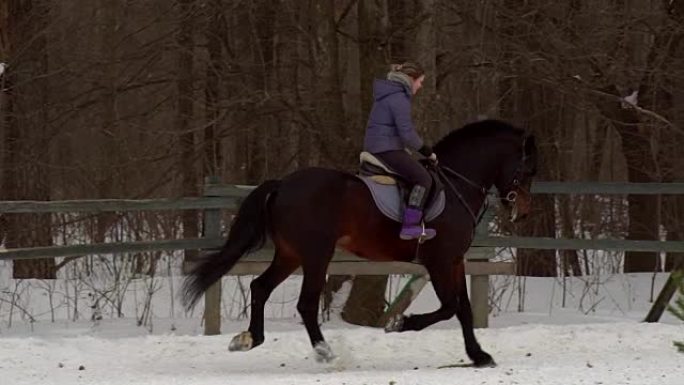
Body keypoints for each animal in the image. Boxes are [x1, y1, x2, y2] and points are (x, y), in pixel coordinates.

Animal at [182, 119, 540, 366]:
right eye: (527, 170)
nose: (523, 213)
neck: (455, 187)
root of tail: (282, 184)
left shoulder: (454, 261)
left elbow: (463, 309)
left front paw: (479, 355)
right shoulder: (438, 262)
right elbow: (450, 306)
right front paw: (400, 323)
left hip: (289, 254)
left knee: (260, 287)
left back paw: (249, 339)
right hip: (316, 255)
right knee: (306, 303)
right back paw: (325, 351)